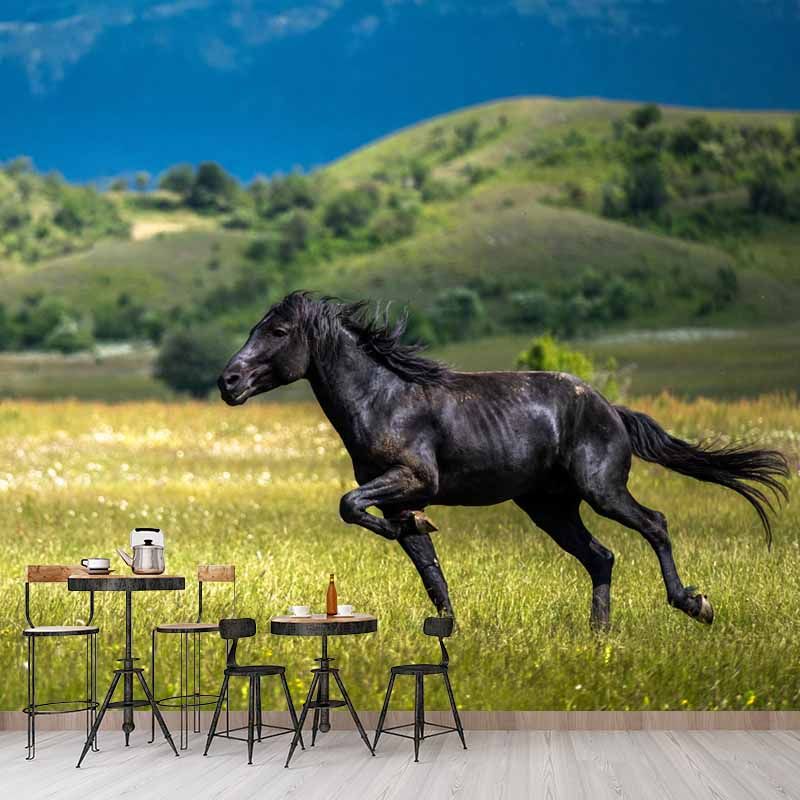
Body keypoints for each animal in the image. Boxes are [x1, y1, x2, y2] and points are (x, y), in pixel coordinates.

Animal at [218, 292, 789, 629]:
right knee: (601, 556)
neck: (385, 399)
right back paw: (598, 635)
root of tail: (611, 408)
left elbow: (349, 504)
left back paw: (694, 604)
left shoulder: (413, 479)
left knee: (655, 524)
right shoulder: (399, 496)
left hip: (602, 490)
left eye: (278, 332)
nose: (228, 381)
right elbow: (426, 566)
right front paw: (445, 624)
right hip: (549, 507)